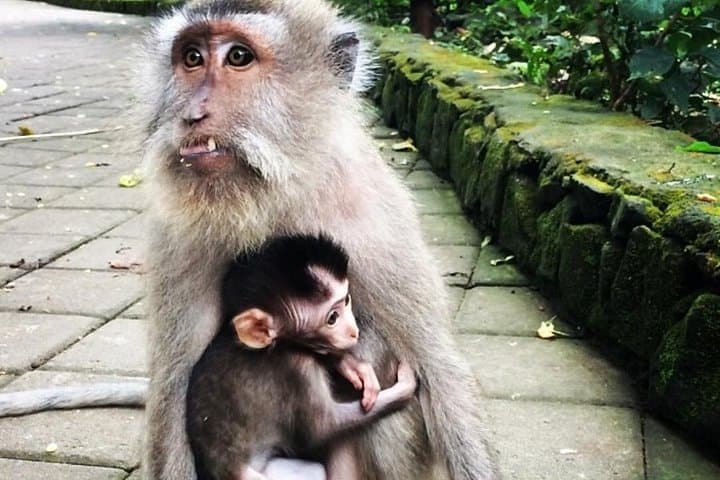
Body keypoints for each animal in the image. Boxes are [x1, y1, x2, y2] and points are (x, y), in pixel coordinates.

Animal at [188, 234, 418, 480]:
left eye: (347, 300)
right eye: (332, 318)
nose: (353, 331)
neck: (277, 345)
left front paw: (351, 366)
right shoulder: (297, 368)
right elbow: (323, 427)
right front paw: (405, 386)